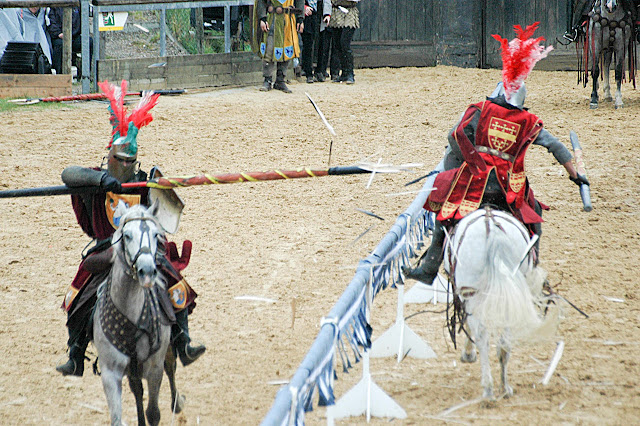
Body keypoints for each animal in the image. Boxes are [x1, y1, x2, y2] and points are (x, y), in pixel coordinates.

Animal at [92, 204, 185, 426]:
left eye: (156, 234)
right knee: (137, 390)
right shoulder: (110, 372)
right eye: (127, 236)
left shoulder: (154, 368)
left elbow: (153, 413)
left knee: (171, 366)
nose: (147, 270)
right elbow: (117, 418)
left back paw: (177, 402)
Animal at [444, 206, 556, 400]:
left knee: (482, 336)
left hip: (473, 294)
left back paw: (488, 390)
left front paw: (468, 354)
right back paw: (504, 388)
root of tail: (492, 231)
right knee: (503, 344)